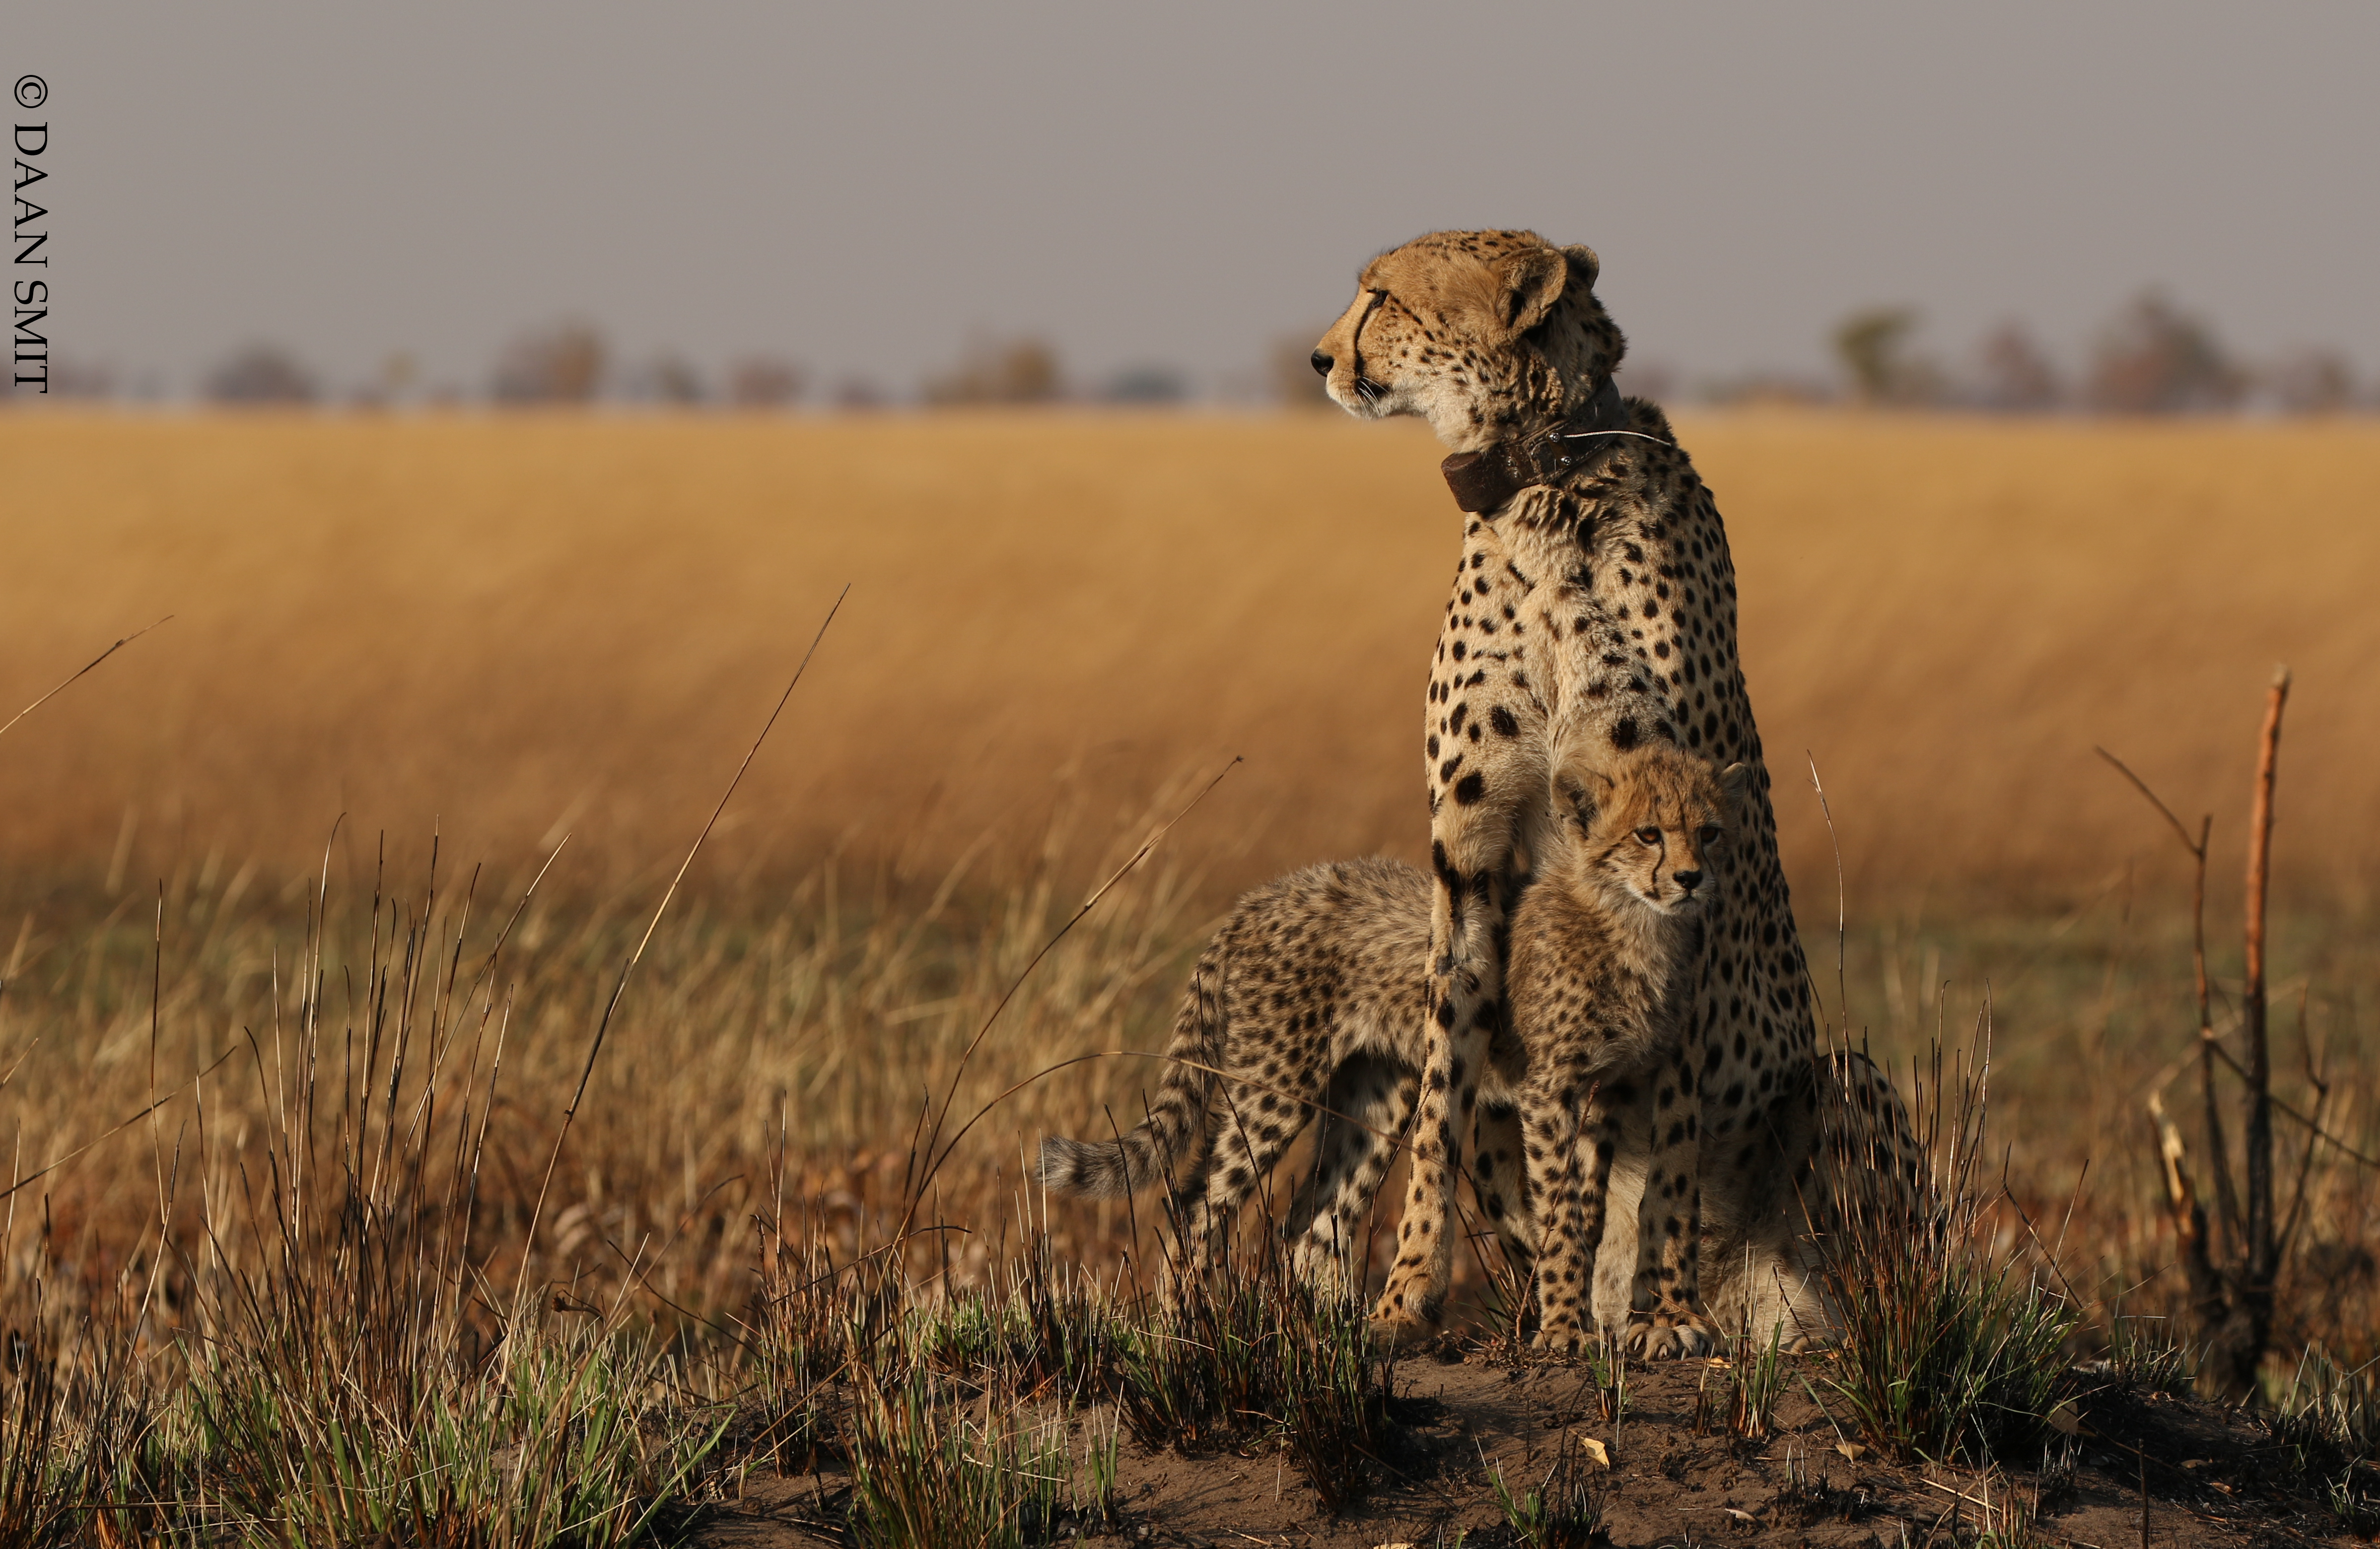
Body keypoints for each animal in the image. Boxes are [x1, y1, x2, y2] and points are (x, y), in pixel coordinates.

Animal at [1309, 228, 1911, 1354]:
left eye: (1382, 296)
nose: (1319, 358)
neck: (1538, 493)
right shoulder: (1468, 854)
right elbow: (1439, 1104)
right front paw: (1407, 1293)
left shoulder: (1691, 843)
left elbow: (1673, 1114)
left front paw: (1664, 1319)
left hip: (1840, 1093)